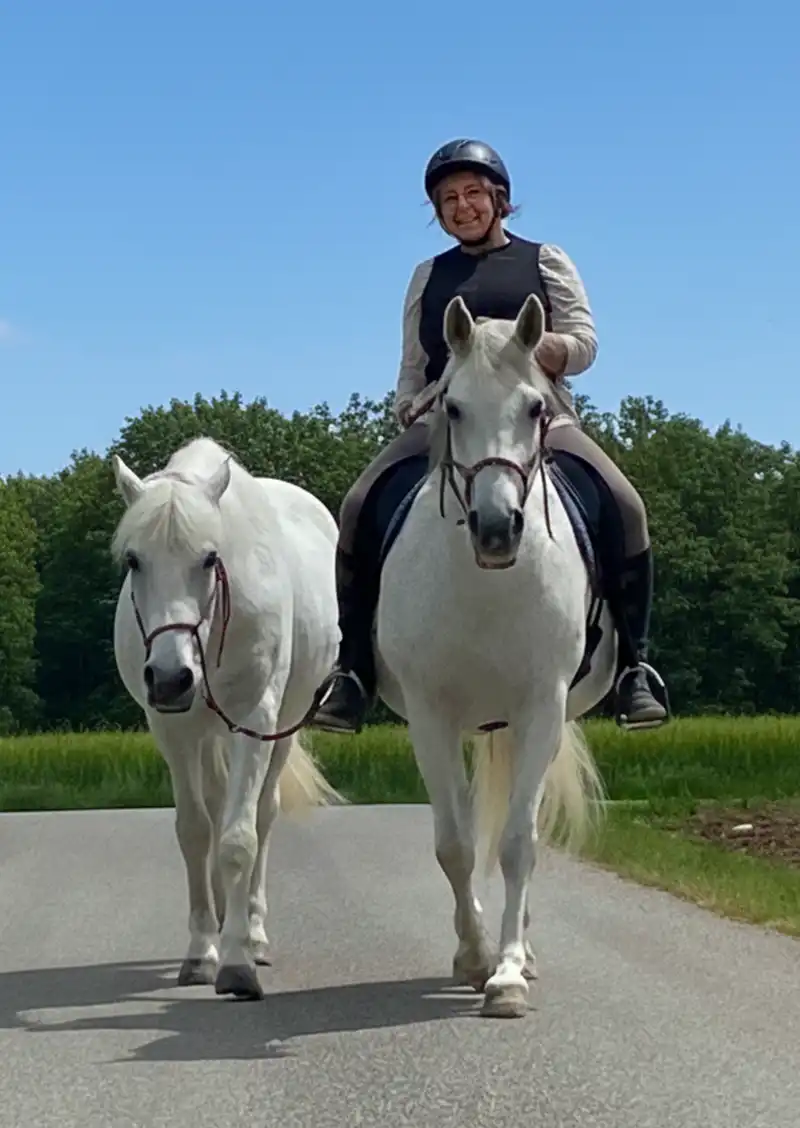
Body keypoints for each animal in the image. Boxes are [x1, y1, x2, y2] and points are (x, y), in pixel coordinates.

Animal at [110, 436, 345, 1001]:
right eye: (134, 559)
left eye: (210, 557)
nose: (170, 678)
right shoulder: (173, 730)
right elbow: (196, 832)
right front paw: (201, 950)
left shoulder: (255, 719)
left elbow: (240, 838)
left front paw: (237, 961)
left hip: (280, 730)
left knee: (262, 814)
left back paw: (252, 932)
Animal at [372, 294, 617, 1018]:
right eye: (451, 407)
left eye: (536, 407)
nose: (497, 529)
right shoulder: (432, 716)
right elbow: (454, 845)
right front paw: (476, 956)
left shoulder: (541, 708)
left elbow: (517, 843)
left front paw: (507, 973)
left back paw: (525, 951)